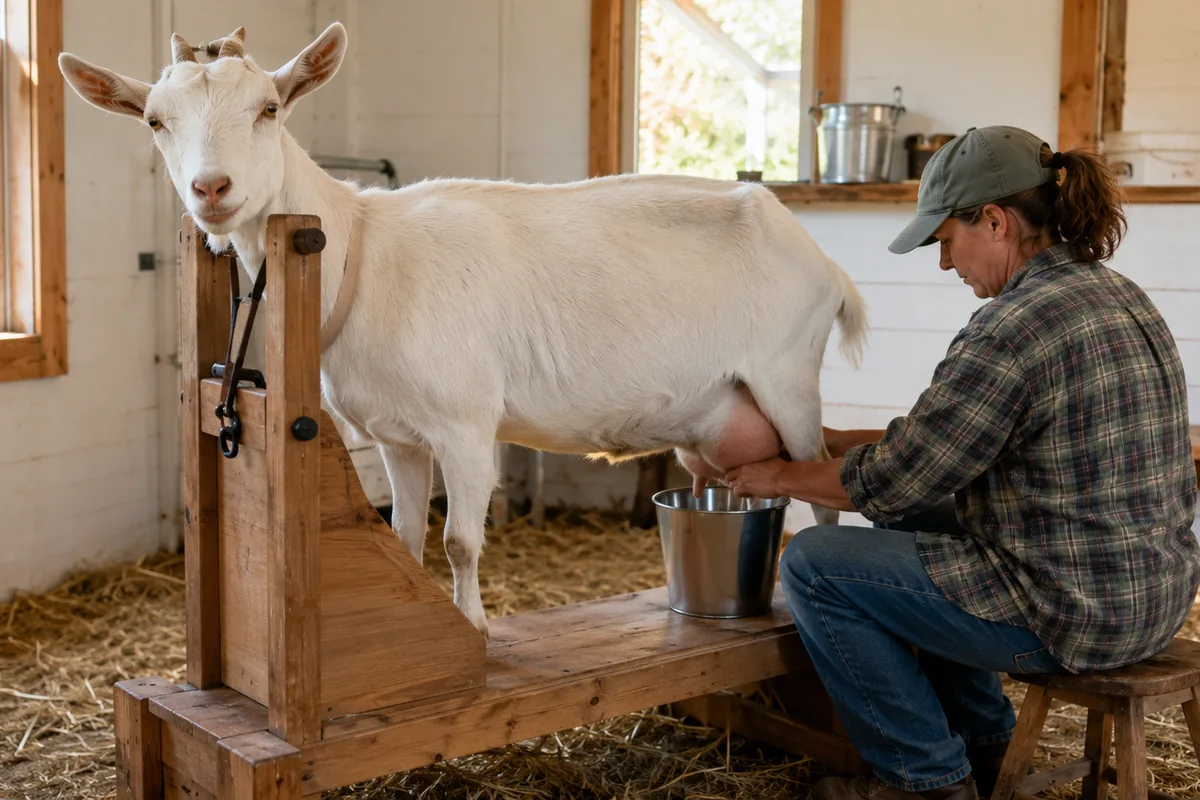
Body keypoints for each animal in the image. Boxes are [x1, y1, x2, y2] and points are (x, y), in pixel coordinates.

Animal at [59, 23, 868, 638]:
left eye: (269, 108)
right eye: (154, 120)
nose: (212, 190)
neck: (360, 256)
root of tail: (826, 263)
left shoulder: (467, 425)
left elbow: (461, 541)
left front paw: (474, 627)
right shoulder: (396, 436)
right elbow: (407, 539)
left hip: (789, 381)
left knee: (822, 487)